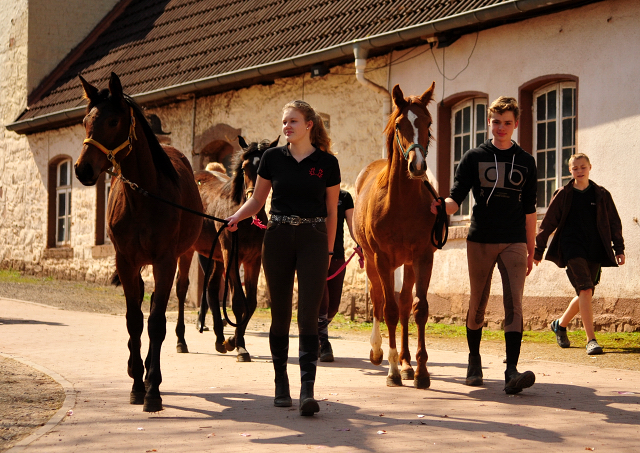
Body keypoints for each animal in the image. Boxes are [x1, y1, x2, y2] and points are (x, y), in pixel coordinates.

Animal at [74, 72, 202, 412]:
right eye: (85, 121)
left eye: (113, 121)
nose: (82, 169)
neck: (145, 197)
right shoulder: (126, 261)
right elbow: (134, 320)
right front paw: (136, 384)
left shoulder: (165, 260)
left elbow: (156, 322)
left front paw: (153, 390)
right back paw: (138, 370)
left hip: (184, 255)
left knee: (175, 294)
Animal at [174, 137, 276, 360]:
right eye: (245, 168)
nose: (252, 198)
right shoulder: (232, 256)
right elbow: (238, 301)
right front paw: (240, 348)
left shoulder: (253, 261)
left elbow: (251, 302)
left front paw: (233, 342)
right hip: (188, 251)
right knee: (181, 287)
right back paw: (181, 341)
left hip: (217, 257)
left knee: (211, 289)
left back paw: (220, 340)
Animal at [356, 82, 440, 388]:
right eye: (400, 124)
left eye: (428, 123)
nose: (418, 166)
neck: (401, 203)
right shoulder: (382, 258)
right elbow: (388, 309)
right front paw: (391, 370)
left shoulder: (423, 257)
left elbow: (419, 309)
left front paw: (420, 371)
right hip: (371, 261)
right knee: (379, 299)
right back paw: (380, 352)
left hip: (407, 263)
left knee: (404, 304)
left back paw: (406, 363)